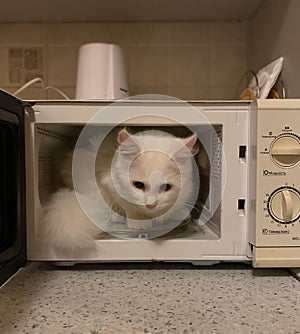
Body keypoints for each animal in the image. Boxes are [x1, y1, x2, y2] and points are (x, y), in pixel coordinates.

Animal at [39, 128, 199, 253]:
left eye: (166, 187)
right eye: (139, 185)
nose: (151, 205)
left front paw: (178, 213)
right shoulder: (109, 183)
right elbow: (129, 206)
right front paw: (139, 222)